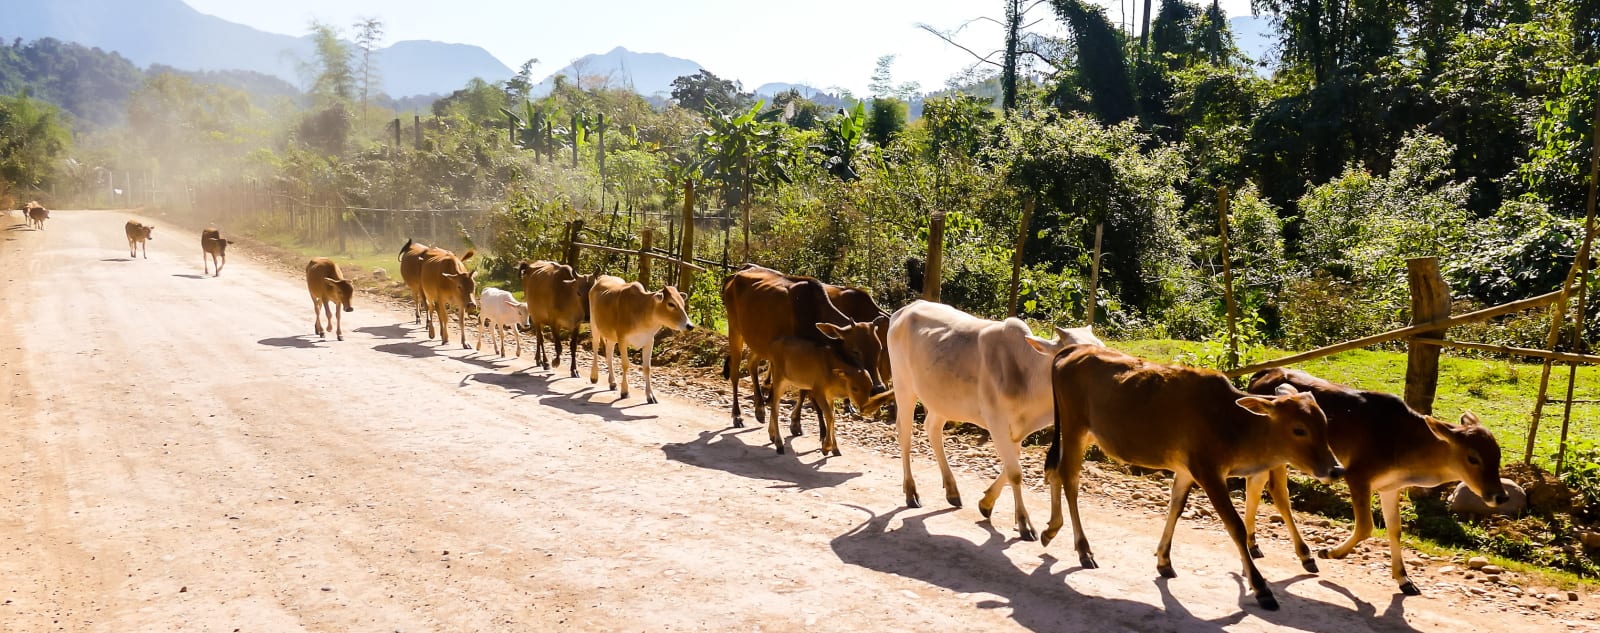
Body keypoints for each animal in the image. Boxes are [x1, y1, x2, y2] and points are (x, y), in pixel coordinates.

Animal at [723, 265, 889, 428]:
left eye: (879, 349)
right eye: (856, 351)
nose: (878, 388)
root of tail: (735, 275)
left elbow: (804, 390)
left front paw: (796, 421)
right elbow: (805, 390)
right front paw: (798, 422)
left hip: (760, 342)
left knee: (751, 363)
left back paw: (760, 408)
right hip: (735, 330)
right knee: (735, 372)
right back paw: (737, 415)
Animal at [764, 330, 896, 453]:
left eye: (869, 387)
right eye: (854, 388)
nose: (863, 407)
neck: (831, 369)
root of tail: (772, 345)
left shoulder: (830, 395)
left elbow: (832, 415)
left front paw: (835, 448)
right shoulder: (818, 392)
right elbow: (829, 415)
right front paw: (826, 447)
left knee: (773, 403)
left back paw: (772, 435)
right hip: (779, 380)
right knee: (775, 407)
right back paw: (779, 444)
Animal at [883, 302, 1107, 540]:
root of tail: (907, 309)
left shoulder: (1017, 430)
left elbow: (1011, 468)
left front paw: (986, 503)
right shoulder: (996, 423)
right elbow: (1015, 473)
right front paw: (1024, 523)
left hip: (941, 399)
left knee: (932, 429)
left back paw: (952, 490)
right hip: (904, 387)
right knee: (905, 434)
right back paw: (911, 491)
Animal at [1043, 343, 1344, 610]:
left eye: (1324, 424)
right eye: (1299, 429)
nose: (1336, 469)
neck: (1234, 423)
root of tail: (1074, 349)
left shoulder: (1187, 471)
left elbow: (1175, 508)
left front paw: (1164, 560)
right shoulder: (1208, 472)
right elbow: (1235, 526)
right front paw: (1261, 588)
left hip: (1083, 434)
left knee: (1055, 470)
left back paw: (1050, 530)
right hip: (1074, 429)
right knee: (1069, 478)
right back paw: (1083, 549)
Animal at [1241, 367, 1504, 594]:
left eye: (1498, 455)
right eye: (1473, 457)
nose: (1500, 496)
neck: (1403, 442)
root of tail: (1263, 374)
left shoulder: (1390, 487)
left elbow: (1395, 529)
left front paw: (1404, 579)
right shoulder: (1357, 475)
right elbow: (1366, 526)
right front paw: (1330, 552)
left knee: (1254, 485)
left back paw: (1253, 544)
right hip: (1279, 456)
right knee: (1279, 493)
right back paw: (1306, 555)